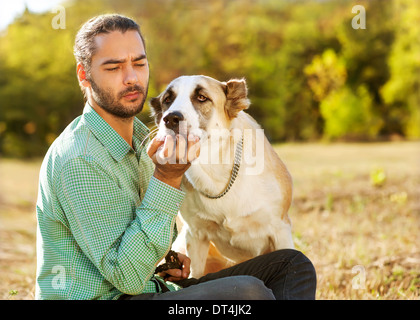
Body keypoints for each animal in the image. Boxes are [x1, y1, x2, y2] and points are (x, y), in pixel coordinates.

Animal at [150, 75, 292, 278]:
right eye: (167, 100)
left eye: (202, 97)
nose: (170, 118)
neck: (216, 174)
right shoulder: (195, 235)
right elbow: (195, 274)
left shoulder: (281, 230)